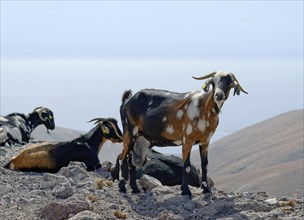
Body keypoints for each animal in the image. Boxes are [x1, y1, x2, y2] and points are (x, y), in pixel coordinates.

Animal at [116, 70, 247, 196]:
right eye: (213, 82)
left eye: (230, 83)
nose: (218, 95)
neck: (203, 108)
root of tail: (128, 100)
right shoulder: (187, 140)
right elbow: (187, 165)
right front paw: (185, 190)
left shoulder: (205, 141)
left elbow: (204, 165)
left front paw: (206, 189)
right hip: (129, 133)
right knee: (123, 158)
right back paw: (122, 188)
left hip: (141, 139)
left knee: (132, 162)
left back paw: (135, 189)